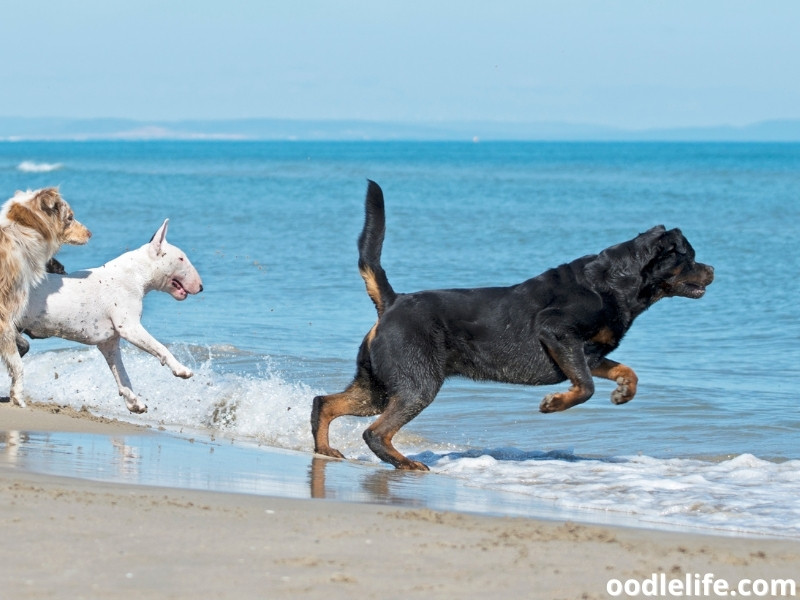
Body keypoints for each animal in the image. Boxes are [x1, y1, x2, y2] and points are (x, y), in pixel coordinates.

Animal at [19, 219, 203, 412]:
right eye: (181, 258)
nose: (201, 287)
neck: (135, 273)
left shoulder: (109, 343)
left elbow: (121, 373)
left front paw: (133, 401)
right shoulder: (130, 328)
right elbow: (161, 347)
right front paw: (181, 369)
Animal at [310, 180, 712, 472]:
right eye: (690, 257)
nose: (712, 269)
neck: (616, 284)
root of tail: (393, 302)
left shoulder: (590, 353)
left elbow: (624, 371)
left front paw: (624, 391)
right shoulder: (558, 333)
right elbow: (585, 387)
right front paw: (554, 403)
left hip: (379, 385)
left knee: (325, 403)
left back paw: (326, 449)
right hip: (416, 384)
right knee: (375, 431)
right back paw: (406, 463)